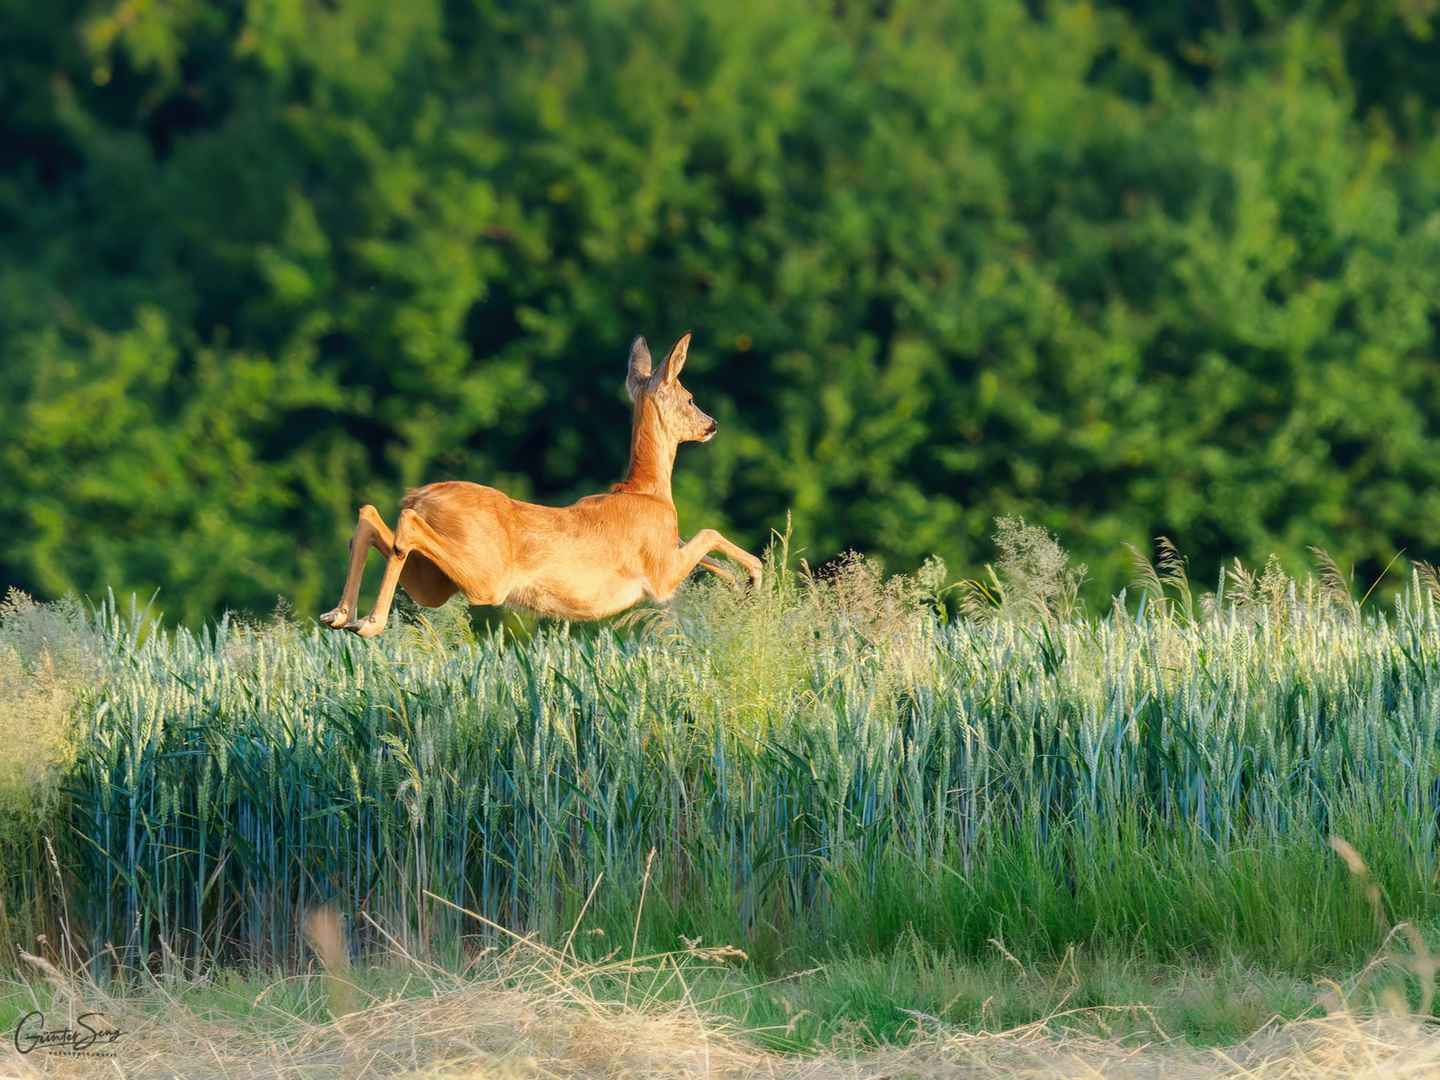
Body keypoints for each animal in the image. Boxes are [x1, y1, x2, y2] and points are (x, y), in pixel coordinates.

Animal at [319, 332, 760, 633]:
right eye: (690, 398)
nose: (712, 424)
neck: (648, 490)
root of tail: (420, 496)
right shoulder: (660, 573)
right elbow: (708, 533)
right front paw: (755, 577)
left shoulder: (670, 551)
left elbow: (702, 548)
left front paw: (737, 584)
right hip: (485, 575)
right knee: (402, 527)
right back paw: (368, 622)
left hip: (437, 583)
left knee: (372, 517)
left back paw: (340, 616)